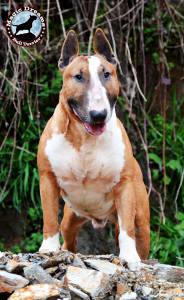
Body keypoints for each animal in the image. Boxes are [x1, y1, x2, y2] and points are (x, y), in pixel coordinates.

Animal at [37, 28, 150, 272]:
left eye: (107, 74)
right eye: (78, 77)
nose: (98, 115)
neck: (84, 137)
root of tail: (101, 218)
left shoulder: (124, 186)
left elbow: (127, 230)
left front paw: (129, 257)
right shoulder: (47, 178)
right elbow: (49, 216)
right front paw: (47, 248)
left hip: (141, 221)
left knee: (134, 233)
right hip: (71, 218)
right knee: (68, 238)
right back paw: (63, 252)